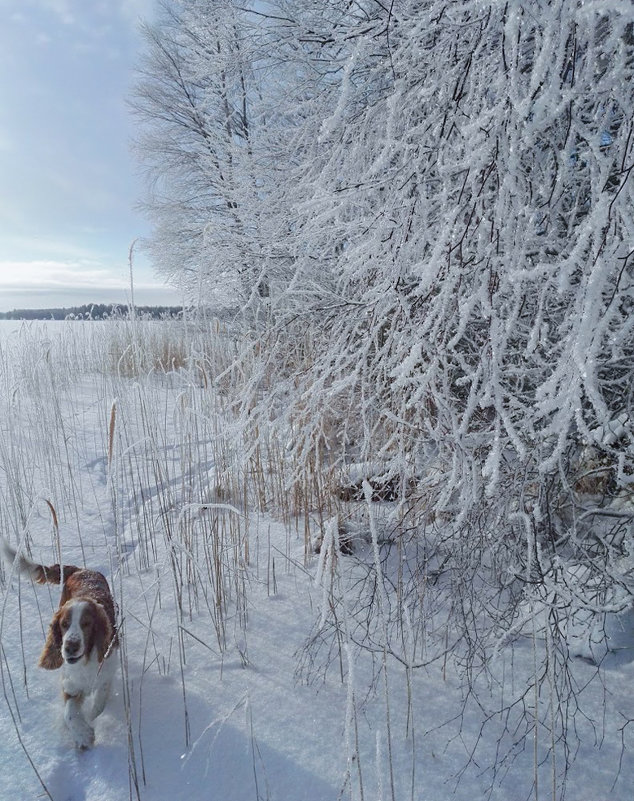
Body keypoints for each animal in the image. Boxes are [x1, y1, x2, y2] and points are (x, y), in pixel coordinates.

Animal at [1, 540, 118, 748]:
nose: (70, 648)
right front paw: (83, 734)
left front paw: (91, 723)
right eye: (64, 624)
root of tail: (80, 569)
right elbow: (69, 712)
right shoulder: (69, 682)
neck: (85, 661)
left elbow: (98, 705)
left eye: (86, 624)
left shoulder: (106, 672)